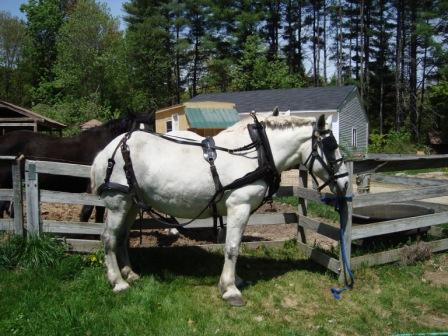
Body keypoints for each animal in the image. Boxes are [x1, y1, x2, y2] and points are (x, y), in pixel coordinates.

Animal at [90, 113, 350, 308]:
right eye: (331, 146)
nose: (346, 183)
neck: (257, 153)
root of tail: (107, 151)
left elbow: (232, 245)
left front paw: (235, 279)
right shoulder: (240, 206)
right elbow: (232, 247)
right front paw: (230, 289)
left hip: (132, 204)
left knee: (122, 237)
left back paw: (130, 274)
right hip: (118, 203)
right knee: (108, 238)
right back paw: (118, 282)